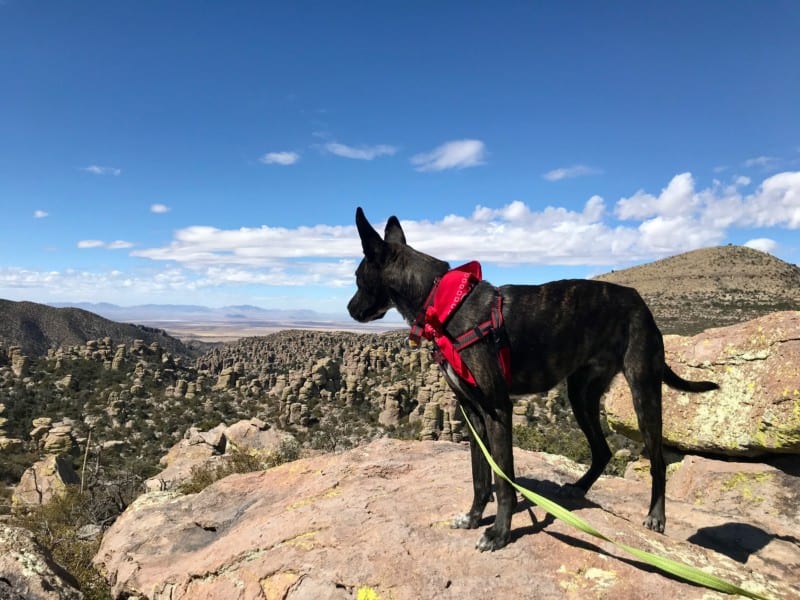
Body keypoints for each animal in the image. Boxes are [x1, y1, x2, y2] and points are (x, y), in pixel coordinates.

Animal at [346, 209, 720, 552]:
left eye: (357, 277)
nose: (349, 309)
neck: (443, 301)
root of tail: (640, 301)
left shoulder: (498, 409)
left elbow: (503, 479)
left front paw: (499, 533)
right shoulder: (472, 412)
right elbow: (480, 475)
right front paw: (473, 516)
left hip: (643, 389)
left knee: (656, 460)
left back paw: (656, 516)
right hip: (581, 393)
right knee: (602, 450)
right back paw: (577, 490)